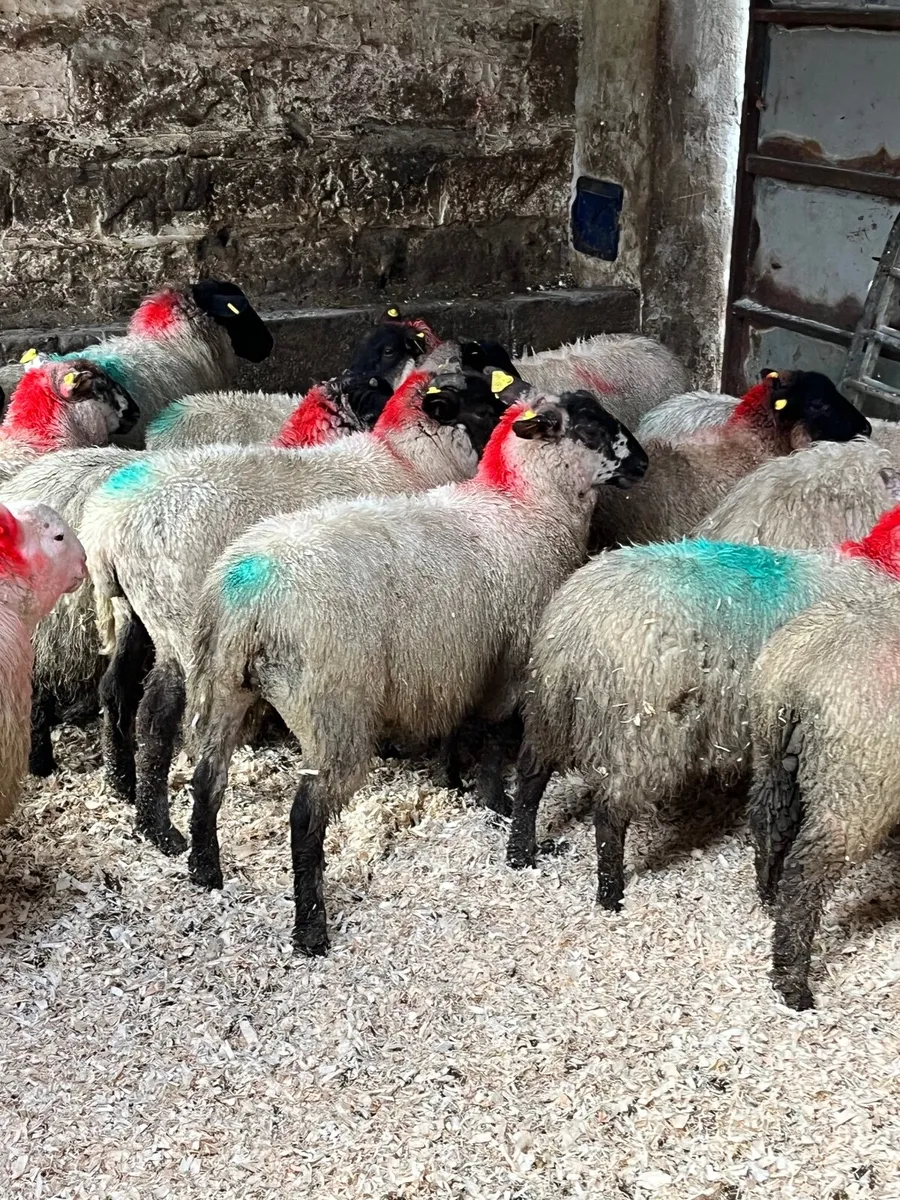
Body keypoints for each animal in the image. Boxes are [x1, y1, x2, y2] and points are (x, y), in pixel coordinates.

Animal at [80, 351, 513, 855]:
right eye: (483, 408)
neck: (406, 461)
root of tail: (107, 528)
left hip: (133, 610)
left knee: (116, 689)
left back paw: (125, 790)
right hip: (180, 620)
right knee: (159, 714)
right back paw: (161, 830)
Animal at [185, 390, 648, 952]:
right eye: (591, 430)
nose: (644, 462)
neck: (525, 507)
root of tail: (250, 593)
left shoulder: (457, 664)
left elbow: (458, 727)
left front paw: (451, 780)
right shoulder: (510, 661)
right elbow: (495, 736)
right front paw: (495, 800)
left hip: (219, 686)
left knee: (208, 776)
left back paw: (205, 871)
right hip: (332, 709)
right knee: (305, 817)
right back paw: (311, 929)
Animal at [506, 523, 900, 913]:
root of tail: (578, 628)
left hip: (548, 712)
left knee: (530, 777)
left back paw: (520, 854)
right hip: (644, 737)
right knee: (609, 813)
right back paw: (611, 895)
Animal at [747, 507, 900, 1010]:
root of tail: (805, 671)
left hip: (772, 756)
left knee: (767, 823)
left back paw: (768, 896)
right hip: (857, 787)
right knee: (807, 871)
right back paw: (793, 982)